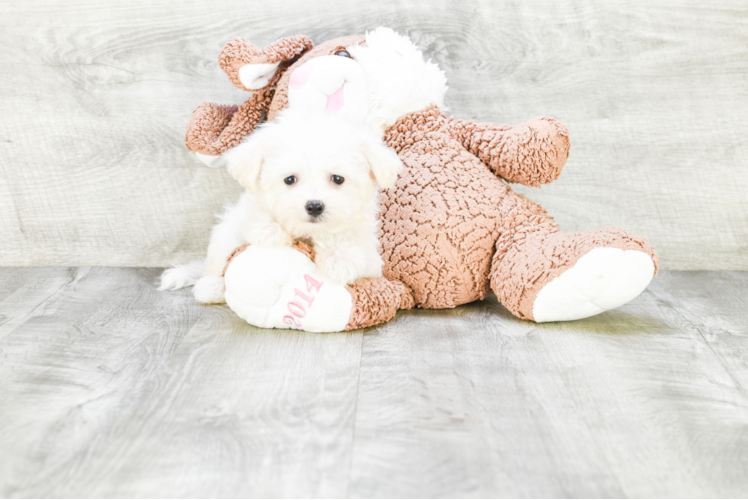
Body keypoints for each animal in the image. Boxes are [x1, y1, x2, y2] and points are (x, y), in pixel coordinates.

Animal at [164, 109, 404, 302]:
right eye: (290, 179)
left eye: (338, 179)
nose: (314, 206)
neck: (306, 233)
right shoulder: (244, 217)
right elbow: (254, 220)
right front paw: (270, 230)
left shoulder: (371, 258)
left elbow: (354, 246)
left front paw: (339, 258)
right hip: (222, 235)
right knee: (216, 262)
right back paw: (211, 286)